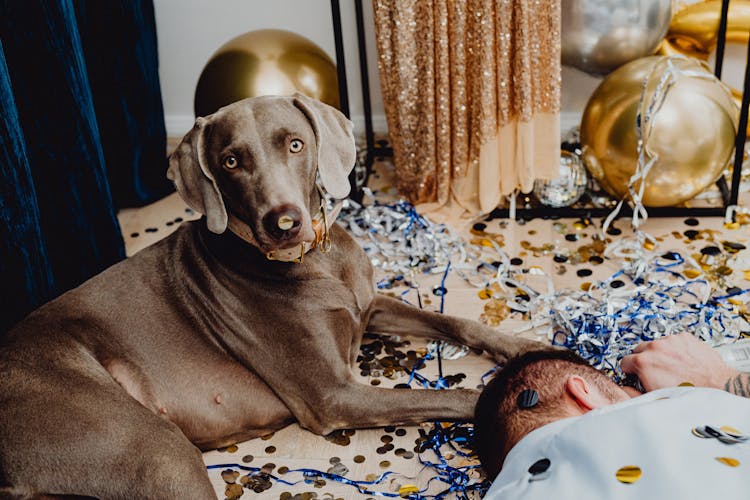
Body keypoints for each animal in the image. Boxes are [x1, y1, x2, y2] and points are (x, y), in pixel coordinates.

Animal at [0, 94, 540, 500]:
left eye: (296, 145)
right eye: (231, 161)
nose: (283, 223)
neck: (314, 262)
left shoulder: (367, 307)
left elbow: (456, 323)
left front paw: (533, 348)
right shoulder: (334, 395)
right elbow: (462, 395)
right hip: (152, 449)